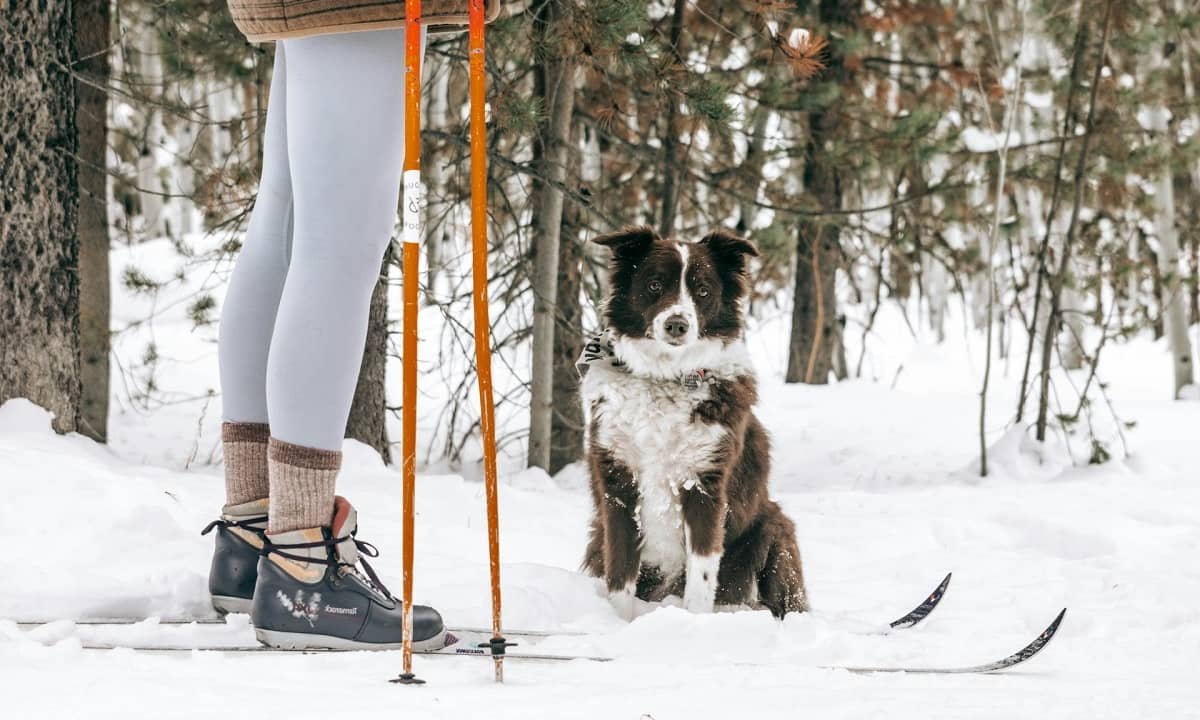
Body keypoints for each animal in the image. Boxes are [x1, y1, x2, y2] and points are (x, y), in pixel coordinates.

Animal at [578, 226, 811, 619]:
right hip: (597, 535)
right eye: (655, 284)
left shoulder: (705, 485)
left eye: (703, 290)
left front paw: (694, 624)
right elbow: (620, 573)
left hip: (773, 528)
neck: (665, 377)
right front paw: (619, 622)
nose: (677, 324)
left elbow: (701, 576)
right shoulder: (618, 485)